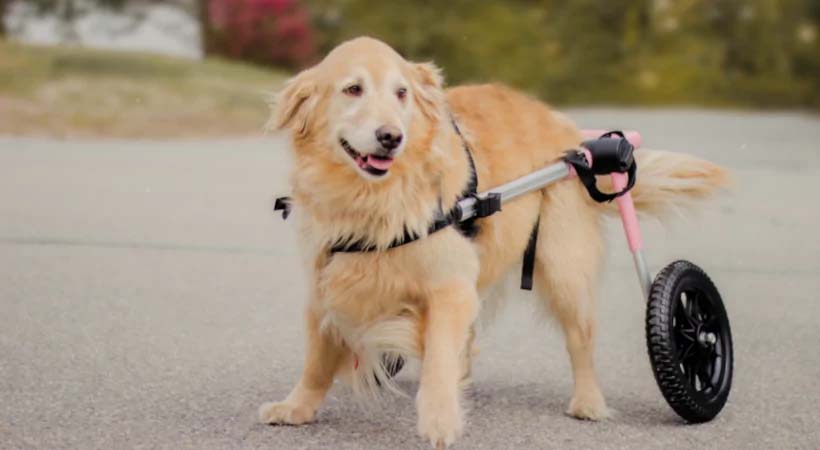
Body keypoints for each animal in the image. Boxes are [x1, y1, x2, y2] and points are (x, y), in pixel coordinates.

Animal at [260, 37, 728, 448]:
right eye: (352, 89)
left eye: (401, 93)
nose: (391, 137)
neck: (372, 199)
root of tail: (572, 133)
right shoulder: (326, 284)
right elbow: (317, 359)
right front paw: (296, 406)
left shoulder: (449, 284)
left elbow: (439, 358)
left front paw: (440, 420)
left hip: (564, 265)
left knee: (582, 337)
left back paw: (589, 400)